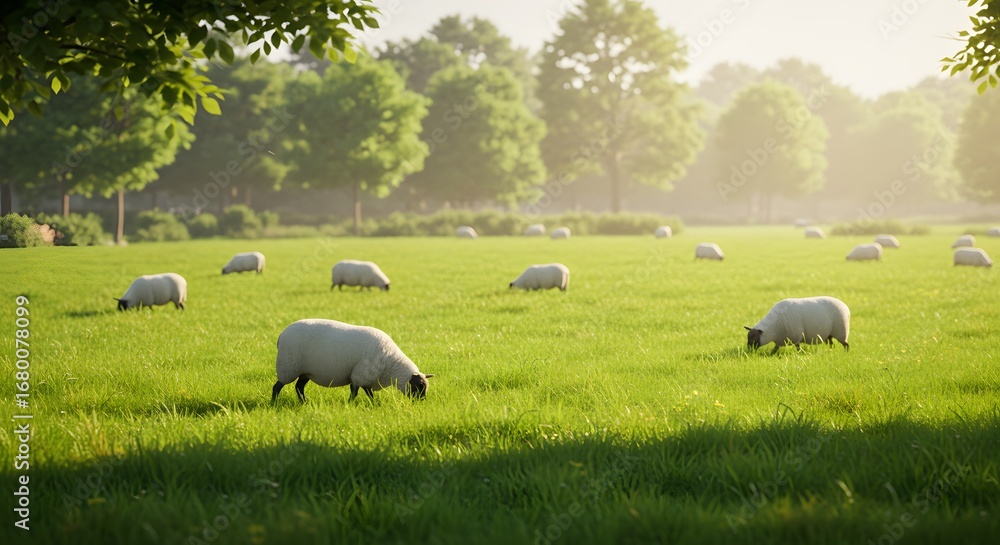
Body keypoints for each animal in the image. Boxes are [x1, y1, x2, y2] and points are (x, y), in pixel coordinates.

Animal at [271, 319, 434, 403]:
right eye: (419, 386)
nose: (422, 402)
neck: (391, 364)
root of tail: (281, 335)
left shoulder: (366, 377)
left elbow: (368, 393)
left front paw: (375, 404)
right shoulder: (360, 375)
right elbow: (355, 392)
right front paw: (351, 404)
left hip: (305, 371)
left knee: (299, 387)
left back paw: (305, 402)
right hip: (288, 366)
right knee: (277, 386)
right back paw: (274, 403)